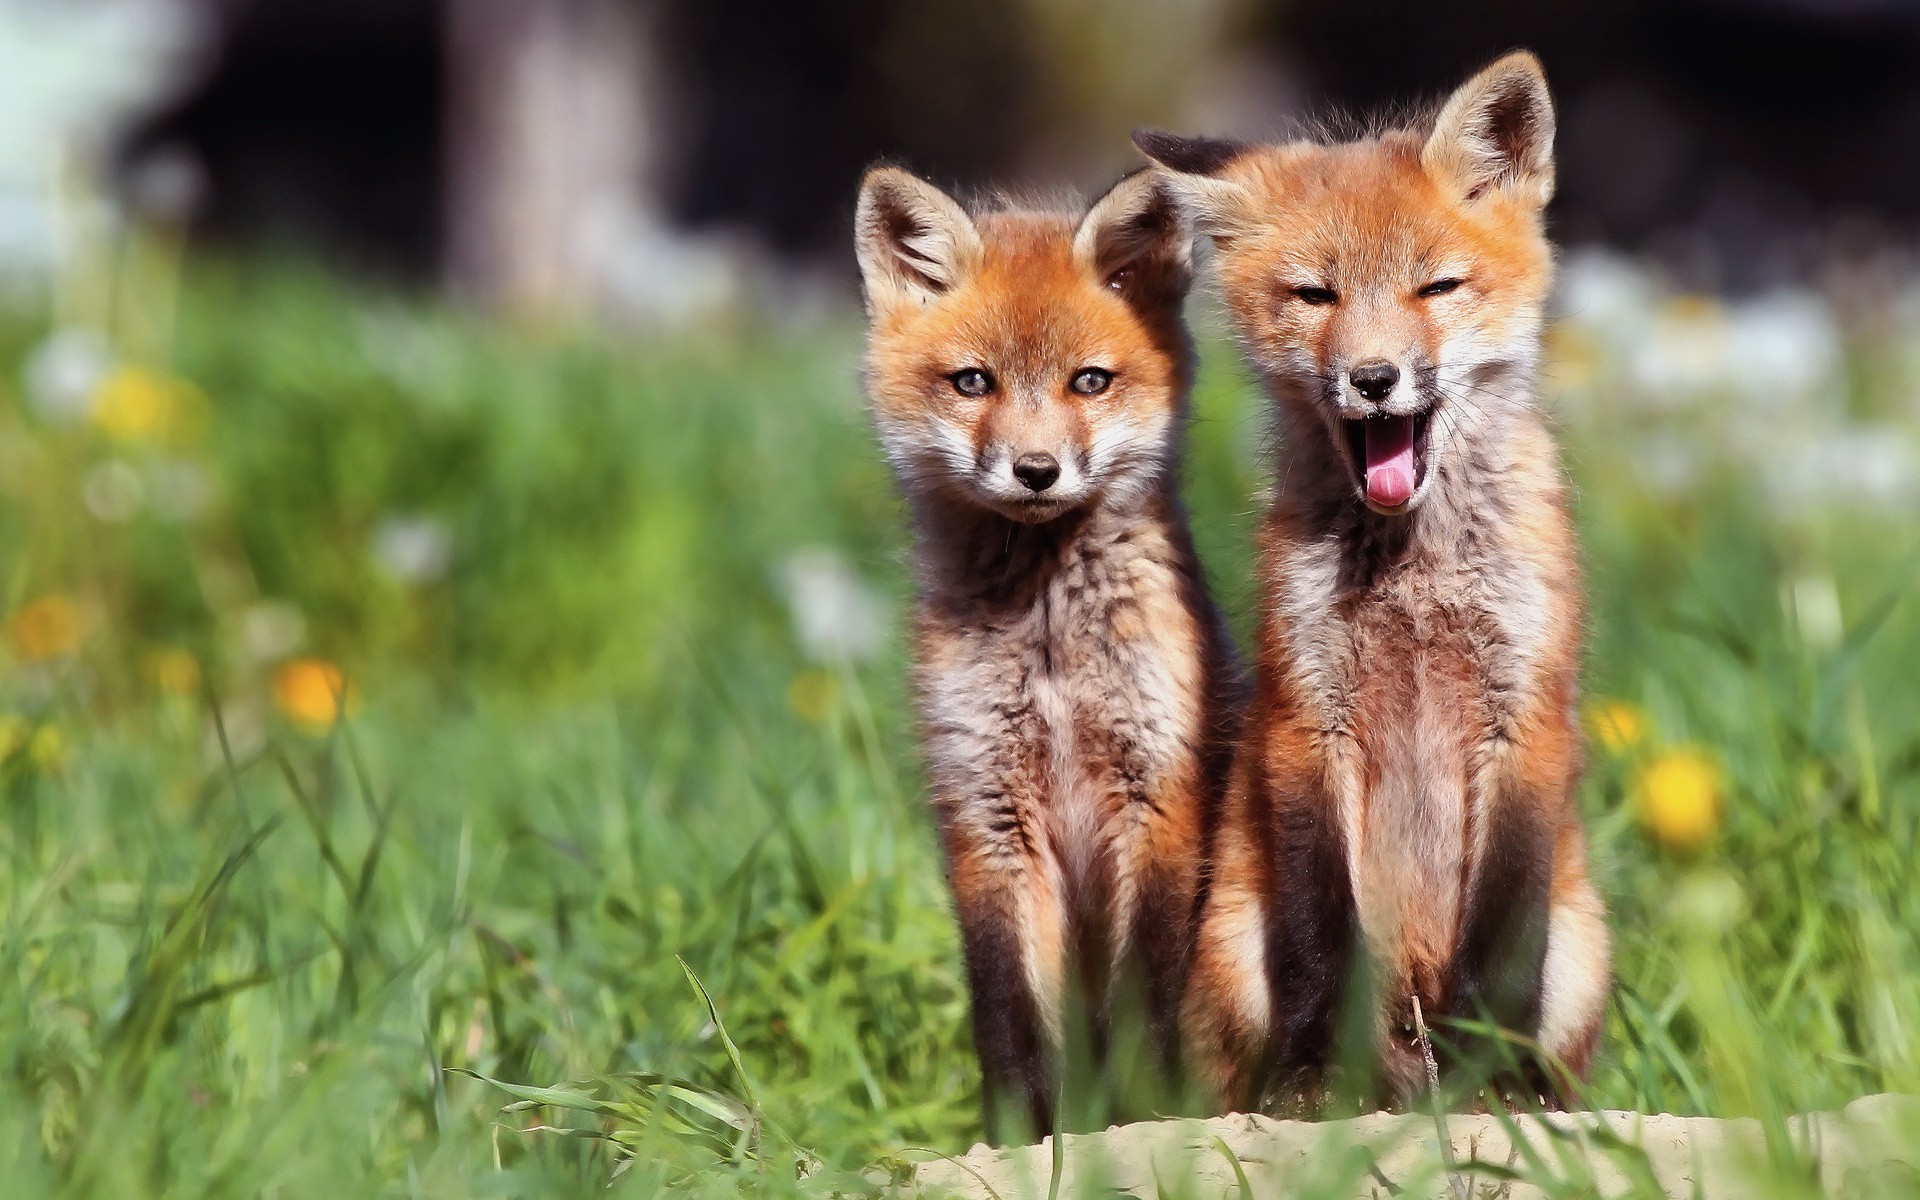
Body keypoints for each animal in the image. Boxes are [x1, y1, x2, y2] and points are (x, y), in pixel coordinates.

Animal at [1128, 51, 1612, 1105]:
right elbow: (1320, 935)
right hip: (1234, 950)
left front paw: (1495, 1075)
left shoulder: (1526, 718)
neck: (1412, 574)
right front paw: (1317, 1072)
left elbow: (1500, 941)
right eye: (1317, 295)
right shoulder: (1309, 717)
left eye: (1437, 286)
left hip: (1582, 951)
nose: (1376, 379)